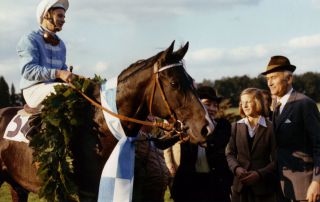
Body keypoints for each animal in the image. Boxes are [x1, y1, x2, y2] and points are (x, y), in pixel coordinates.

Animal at [0, 41, 215, 201]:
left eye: (191, 80)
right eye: (174, 83)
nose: (207, 127)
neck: (101, 129)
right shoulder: (83, 194)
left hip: (16, 184)